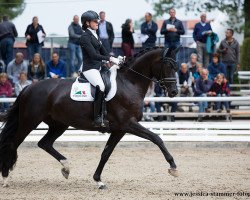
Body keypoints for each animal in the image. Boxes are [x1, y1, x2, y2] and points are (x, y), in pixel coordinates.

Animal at [0, 46, 180, 188]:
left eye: (176, 66)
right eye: (168, 65)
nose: (174, 92)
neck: (129, 82)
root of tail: (29, 87)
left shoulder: (119, 129)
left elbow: (106, 153)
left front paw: (98, 180)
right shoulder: (128, 124)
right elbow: (157, 138)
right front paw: (173, 167)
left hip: (59, 124)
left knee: (44, 143)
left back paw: (66, 168)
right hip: (29, 121)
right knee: (13, 144)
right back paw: (5, 178)